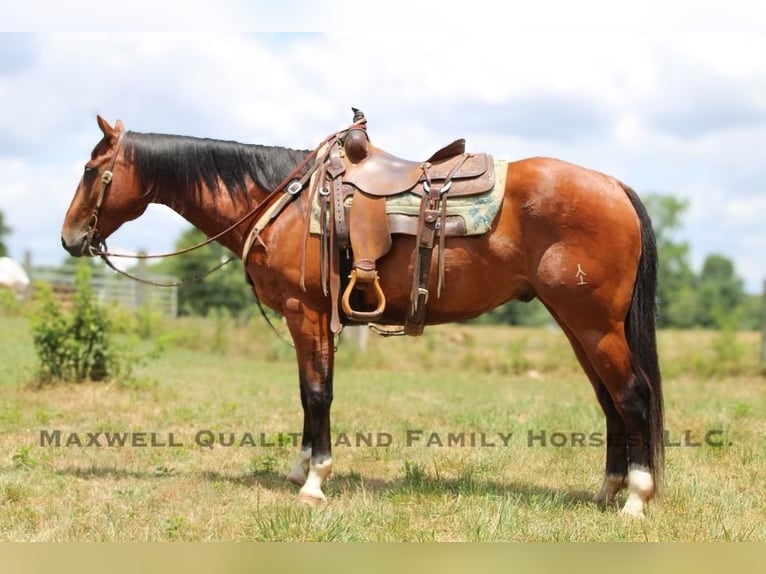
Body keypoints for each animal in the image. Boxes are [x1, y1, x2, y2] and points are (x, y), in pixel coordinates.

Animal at [61, 115, 664, 517]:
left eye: (92, 169)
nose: (69, 238)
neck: (282, 200)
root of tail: (614, 187)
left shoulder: (306, 313)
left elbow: (317, 394)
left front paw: (315, 482)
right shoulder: (310, 320)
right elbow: (308, 393)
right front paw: (301, 468)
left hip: (593, 324)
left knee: (632, 396)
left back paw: (636, 498)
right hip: (578, 325)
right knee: (609, 400)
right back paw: (607, 491)